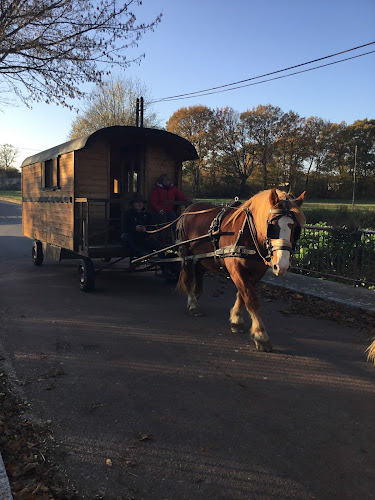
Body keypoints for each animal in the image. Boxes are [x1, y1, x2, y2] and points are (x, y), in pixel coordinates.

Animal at [176, 188, 306, 352]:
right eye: (272, 226)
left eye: (296, 229)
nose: (281, 265)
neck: (248, 233)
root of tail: (188, 210)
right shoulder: (235, 269)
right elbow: (251, 299)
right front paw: (261, 335)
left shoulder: (256, 273)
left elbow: (242, 295)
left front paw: (236, 320)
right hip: (186, 252)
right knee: (188, 277)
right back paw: (193, 304)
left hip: (203, 255)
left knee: (199, 270)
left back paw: (196, 295)